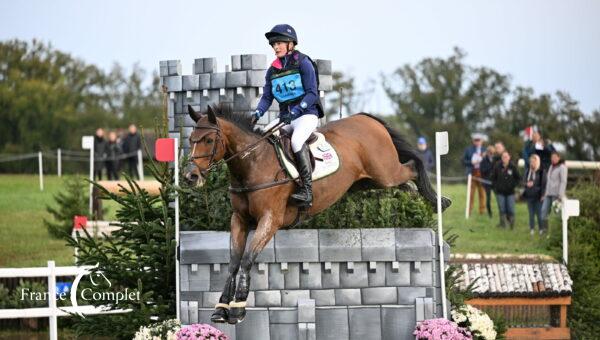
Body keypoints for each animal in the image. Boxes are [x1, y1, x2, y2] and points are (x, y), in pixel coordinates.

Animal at [183, 105, 450, 324]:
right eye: (190, 139)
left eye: (208, 139)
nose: (191, 176)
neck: (252, 164)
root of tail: (366, 119)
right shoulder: (239, 220)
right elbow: (234, 261)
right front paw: (221, 308)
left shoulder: (269, 220)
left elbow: (248, 259)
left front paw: (237, 309)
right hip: (364, 181)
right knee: (403, 181)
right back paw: (414, 194)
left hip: (385, 171)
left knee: (412, 167)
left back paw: (439, 200)